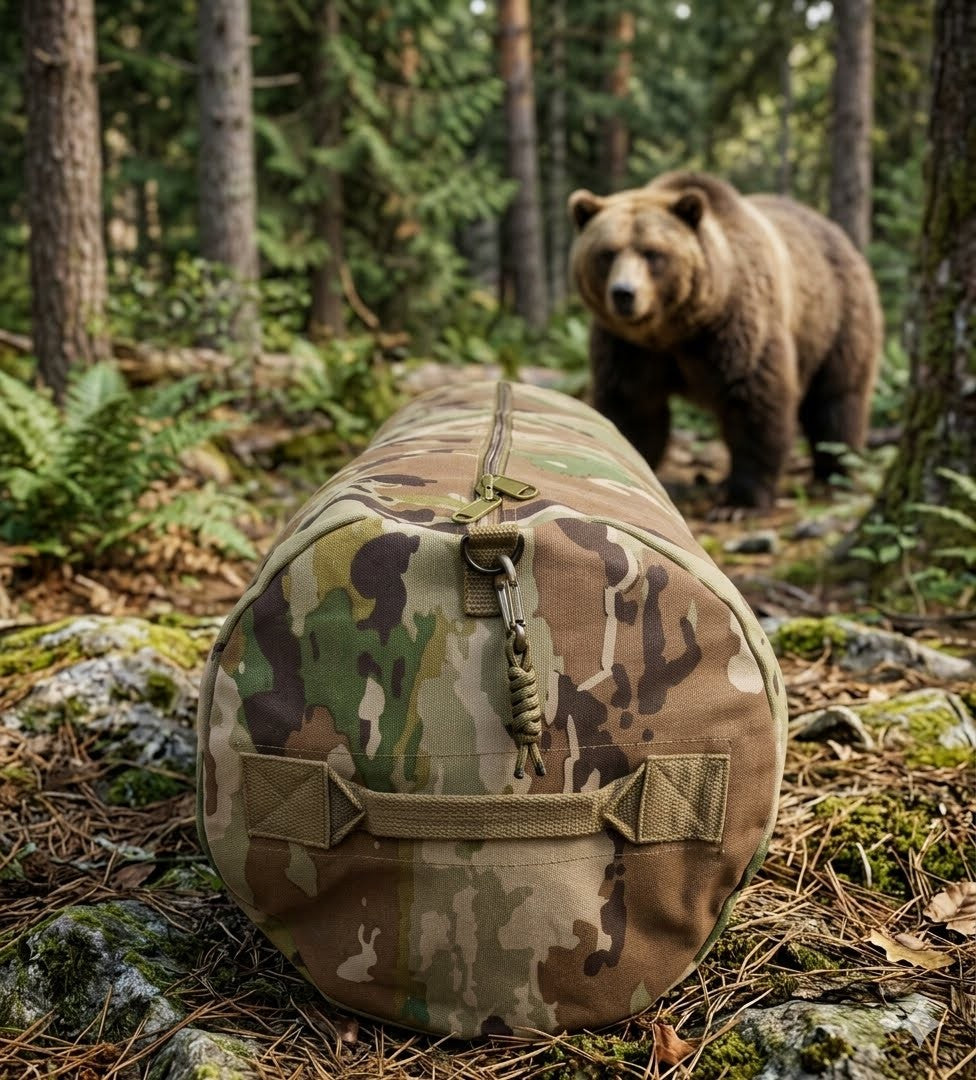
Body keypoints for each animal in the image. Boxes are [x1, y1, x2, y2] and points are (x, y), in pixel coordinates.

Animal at [568, 170, 882, 509]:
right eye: (606, 253)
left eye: (653, 253)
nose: (624, 293)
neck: (675, 331)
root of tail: (836, 232)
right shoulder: (628, 347)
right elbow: (631, 408)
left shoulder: (736, 330)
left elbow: (756, 405)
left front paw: (739, 503)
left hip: (837, 319)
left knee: (836, 400)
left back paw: (834, 475)